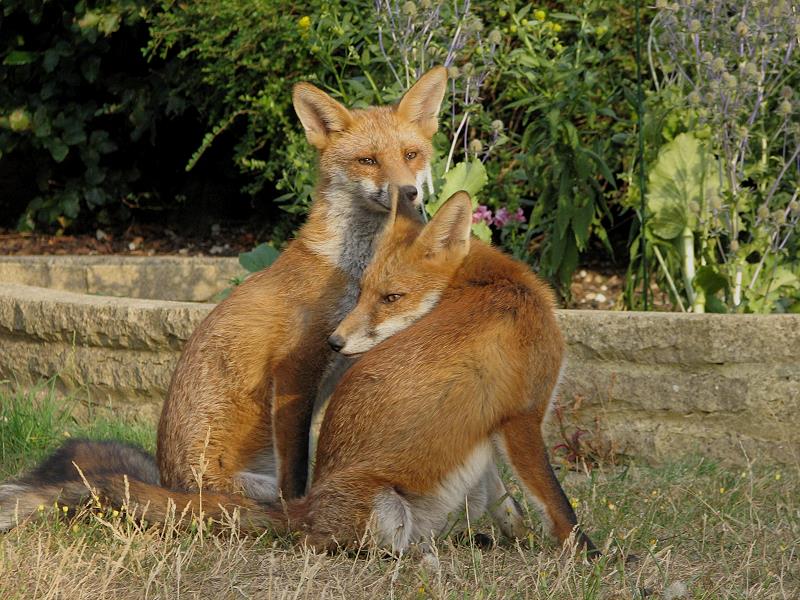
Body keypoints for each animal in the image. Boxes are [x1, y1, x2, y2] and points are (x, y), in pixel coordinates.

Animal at [0, 68, 446, 532]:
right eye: (368, 161)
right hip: (241, 484)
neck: (353, 268)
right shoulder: (294, 370)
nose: (408, 193)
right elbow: (296, 477)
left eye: (411, 155)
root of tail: (168, 483)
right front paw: (297, 517)